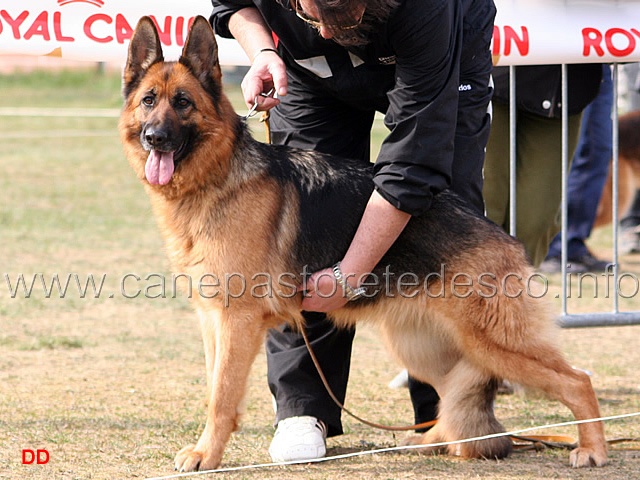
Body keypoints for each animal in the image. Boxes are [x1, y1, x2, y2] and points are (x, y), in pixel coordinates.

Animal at [121, 15, 608, 472]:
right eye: (149, 101)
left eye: (183, 103)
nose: (154, 138)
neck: (217, 178)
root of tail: (502, 234)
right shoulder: (212, 321)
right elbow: (213, 389)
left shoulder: (236, 322)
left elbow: (221, 396)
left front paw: (206, 454)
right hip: (423, 347)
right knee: (456, 393)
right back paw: (431, 440)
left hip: (496, 345)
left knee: (577, 381)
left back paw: (593, 449)